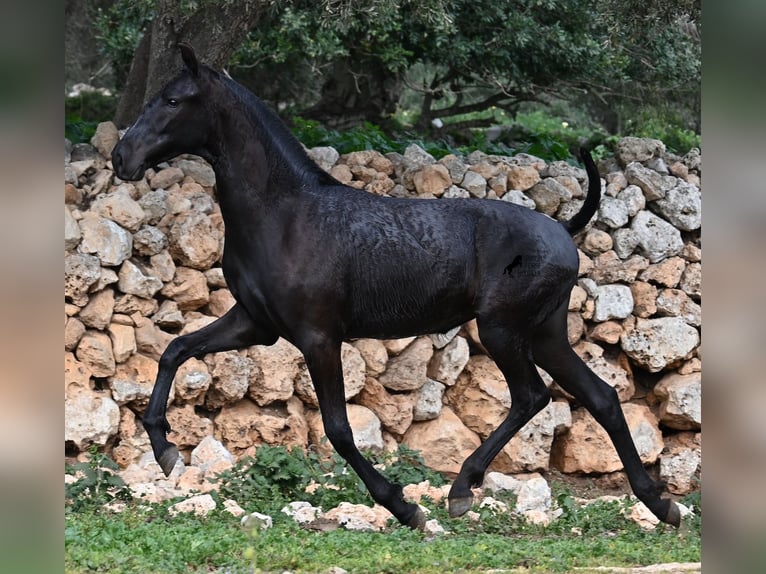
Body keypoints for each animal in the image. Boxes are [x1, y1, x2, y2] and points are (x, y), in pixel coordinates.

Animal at [111, 45, 680, 532]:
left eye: (173, 100)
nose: (121, 157)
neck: (284, 213)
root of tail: (563, 229)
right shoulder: (254, 324)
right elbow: (175, 350)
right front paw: (165, 450)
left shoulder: (318, 337)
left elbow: (339, 430)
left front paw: (403, 506)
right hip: (543, 334)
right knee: (601, 397)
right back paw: (660, 505)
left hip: (502, 330)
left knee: (532, 397)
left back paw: (462, 490)